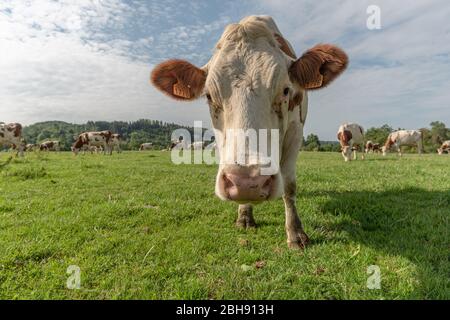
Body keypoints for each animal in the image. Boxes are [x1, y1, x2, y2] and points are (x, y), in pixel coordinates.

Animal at [151, 15, 348, 249]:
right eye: (208, 95)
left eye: (286, 90)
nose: (247, 183)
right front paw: (245, 216)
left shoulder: (295, 132)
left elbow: (290, 186)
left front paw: (295, 233)